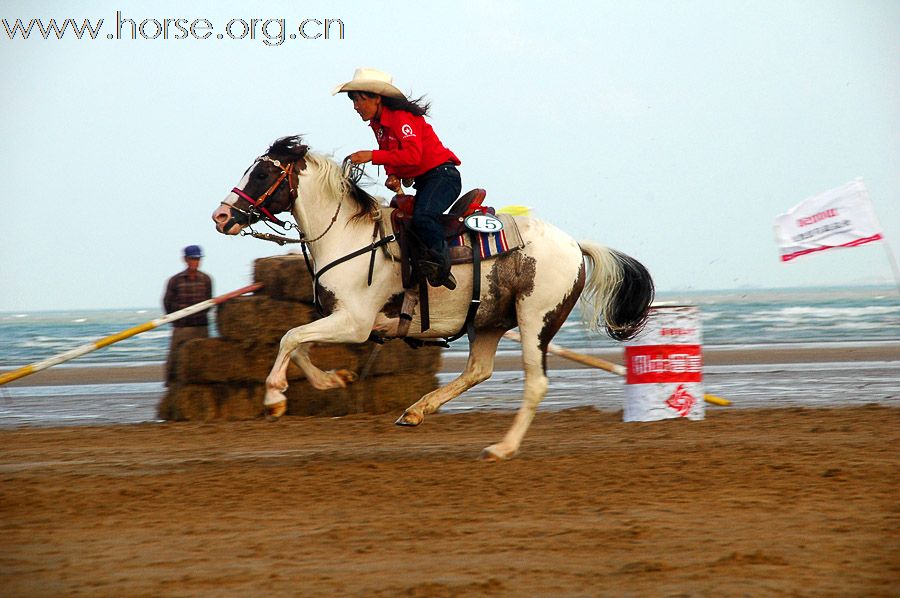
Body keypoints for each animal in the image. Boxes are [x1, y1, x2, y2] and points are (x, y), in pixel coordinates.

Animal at [214, 137, 656, 464]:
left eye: (262, 173)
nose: (221, 217)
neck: (349, 237)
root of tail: (574, 245)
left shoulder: (355, 322)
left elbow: (290, 337)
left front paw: (274, 398)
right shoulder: (339, 318)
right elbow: (299, 343)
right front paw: (332, 379)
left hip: (536, 322)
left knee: (535, 384)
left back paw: (502, 448)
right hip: (490, 322)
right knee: (478, 370)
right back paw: (416, 411)